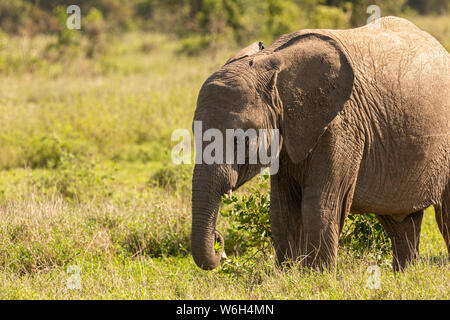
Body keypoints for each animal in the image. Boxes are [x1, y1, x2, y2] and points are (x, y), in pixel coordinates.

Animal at [191, 16, 450, 272]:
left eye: (240, 139)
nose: (219, 240)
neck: (274, 64)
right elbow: (282, 208)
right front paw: (288, 273)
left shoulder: (341, 126)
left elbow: (320, 202)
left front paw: (318, 274)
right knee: (399, 219)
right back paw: (405, 274)